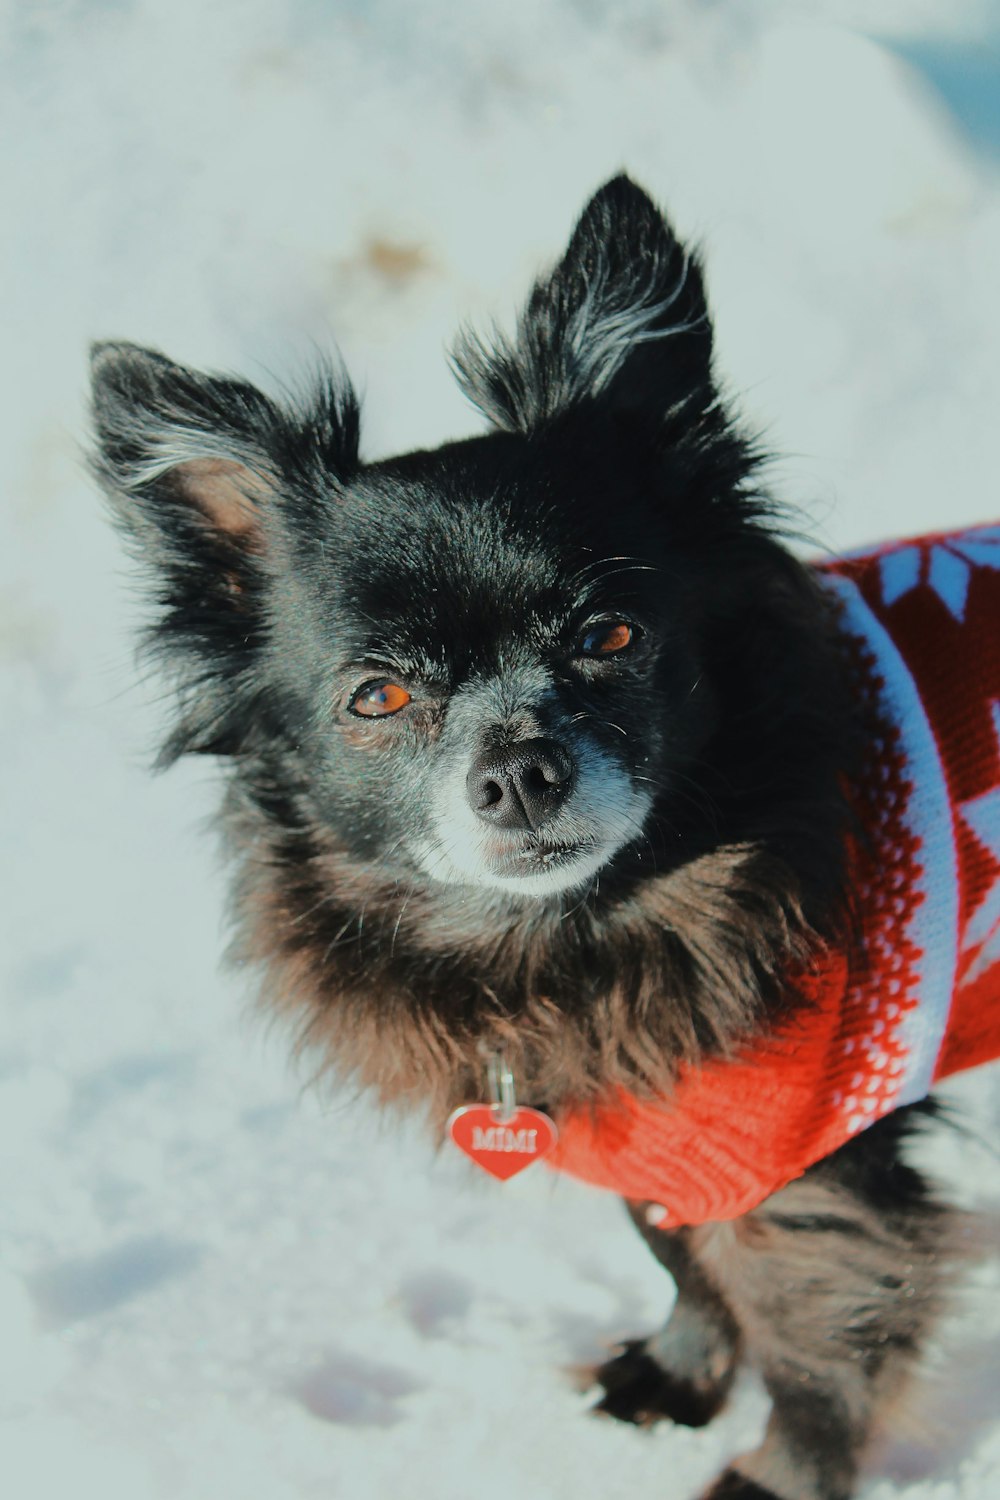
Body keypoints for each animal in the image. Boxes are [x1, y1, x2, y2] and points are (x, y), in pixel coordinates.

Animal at [88, 178, 1000, 1500]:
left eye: (609, 636)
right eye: (377, 698)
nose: (519, 766)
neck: (566, 939)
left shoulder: (807, 1169)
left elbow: (815, 1340)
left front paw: (779, 1477)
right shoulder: (655, 1119)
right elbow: (678, 1252)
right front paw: (680, 1374)